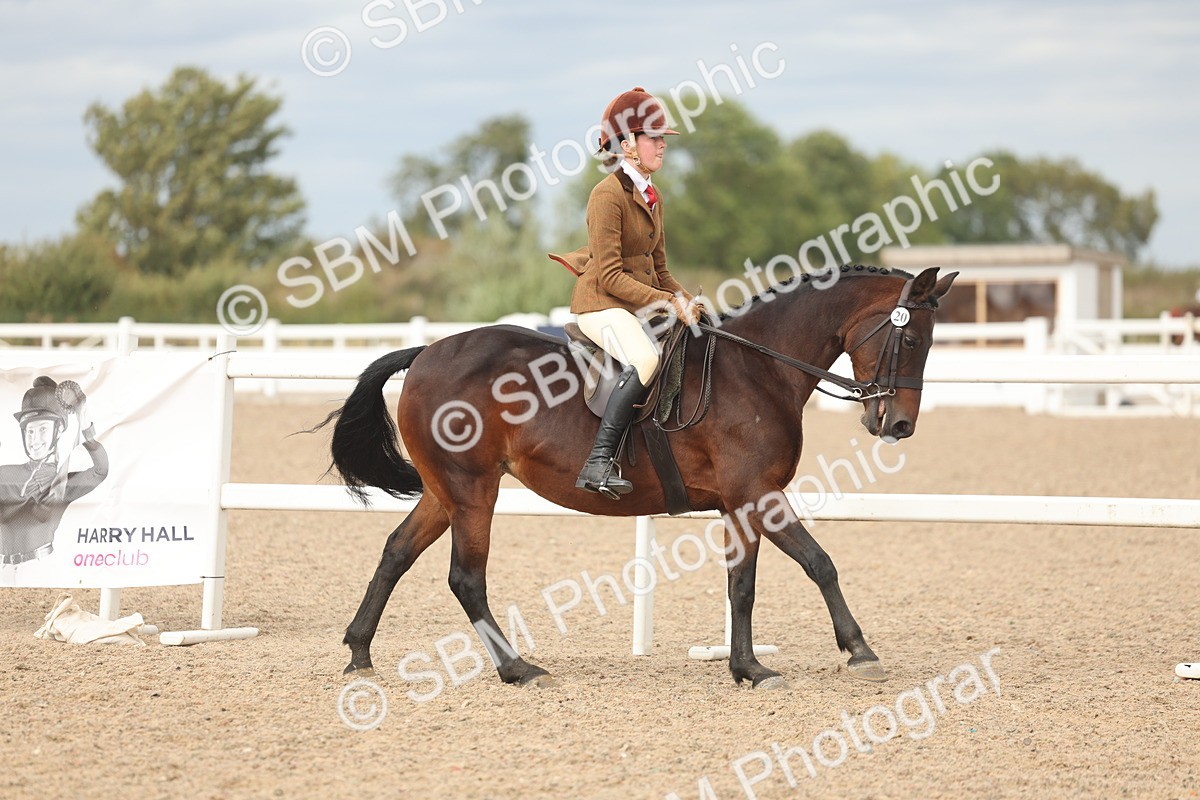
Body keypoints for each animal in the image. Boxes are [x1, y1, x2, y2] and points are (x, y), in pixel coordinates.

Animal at [320, 264, 958, 689]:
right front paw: (859, 650)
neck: (760, 368)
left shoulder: (739, 504)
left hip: (443, 490)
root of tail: (426, 352)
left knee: (396, 552)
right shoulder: (759, 495)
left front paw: (747, 668)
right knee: (465, 578)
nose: (898, 424)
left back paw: (359, 653)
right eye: (909, 337)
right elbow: (819, 563)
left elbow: (742, 586)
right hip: (473, 489)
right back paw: (518, 669)